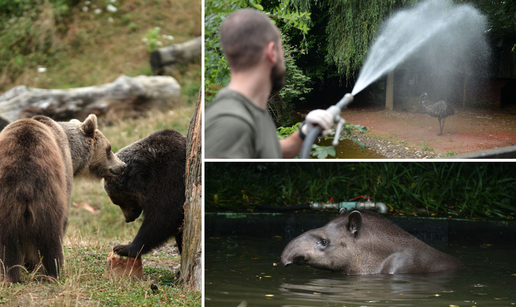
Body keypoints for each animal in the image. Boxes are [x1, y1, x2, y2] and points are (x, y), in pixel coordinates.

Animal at [0, 114, 125, 282]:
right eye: (109, 149)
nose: (122, 165)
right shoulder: (65, 173)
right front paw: (32, 263)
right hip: (48, 191)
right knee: (51, 234)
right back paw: (52, 273)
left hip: (6, 197)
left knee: (6, 239)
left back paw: (8, 275)